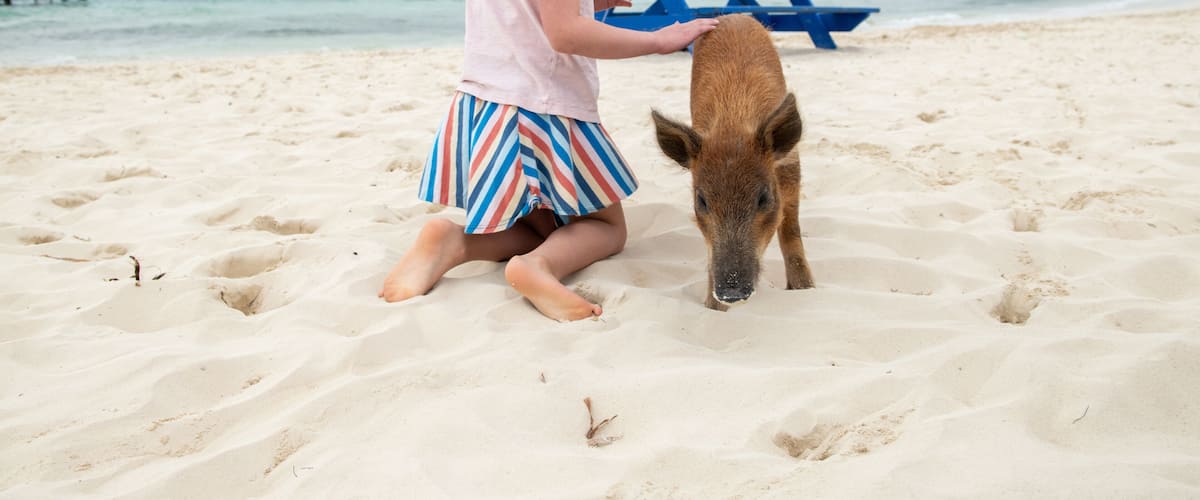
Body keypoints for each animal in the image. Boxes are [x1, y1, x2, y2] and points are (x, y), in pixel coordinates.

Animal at [651, 14, 815, 310]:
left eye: (763, 198)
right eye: (701, 201)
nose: (730, 292)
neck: (733, 124)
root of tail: (734, 16)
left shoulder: (791, 166)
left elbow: (791, 228)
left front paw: (805, 288)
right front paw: (712, 308)